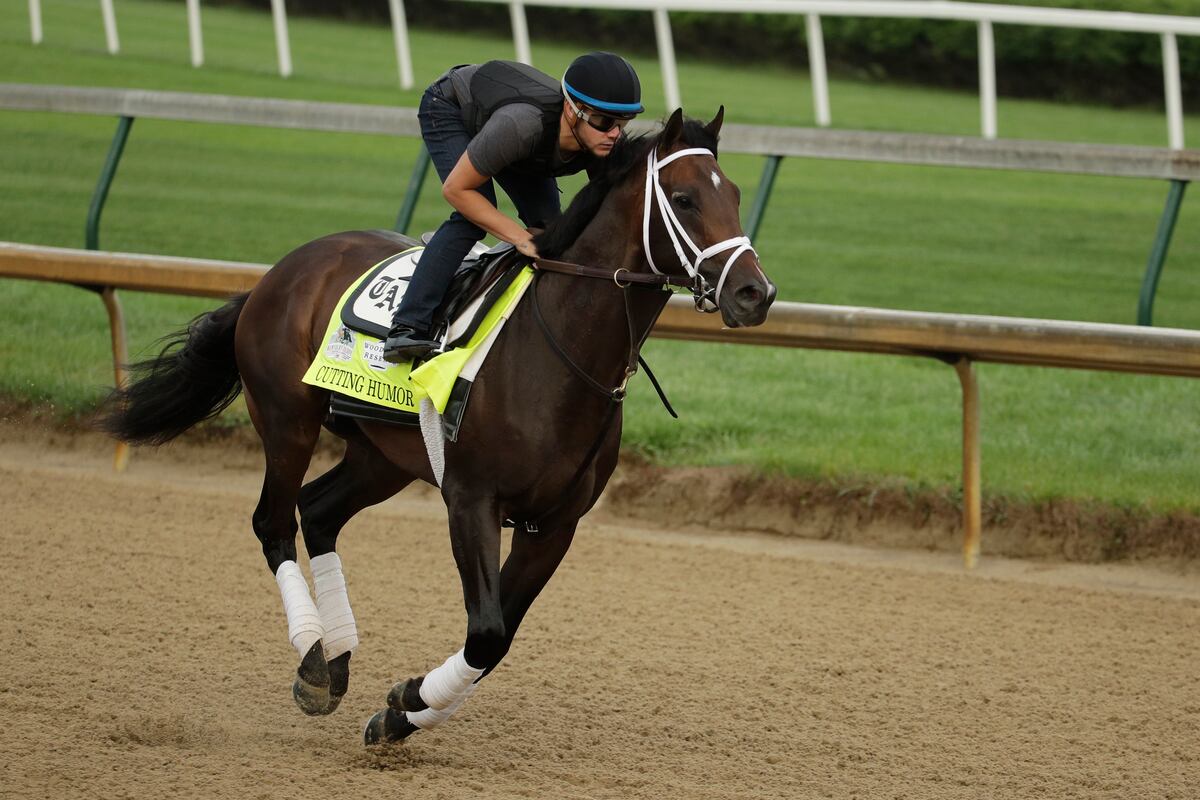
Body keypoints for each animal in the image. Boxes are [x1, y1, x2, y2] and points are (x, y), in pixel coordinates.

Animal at [99, 107, 776, 744]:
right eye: (685, 198)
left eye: (736, 195)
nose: (755, 293)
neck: (560, 352)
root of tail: (279, 271)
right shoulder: (471, 498)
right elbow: (487, 631)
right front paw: (406, 700)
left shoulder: (555, 524)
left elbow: (498, 638)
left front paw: (402, 713)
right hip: (289, 421)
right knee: (273, 521)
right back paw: (315, 662)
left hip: (384, 457)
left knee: (317, 511)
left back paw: (338, 661)